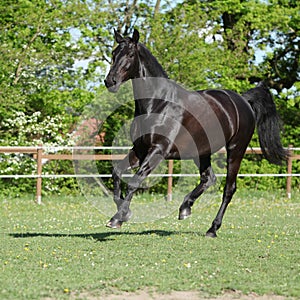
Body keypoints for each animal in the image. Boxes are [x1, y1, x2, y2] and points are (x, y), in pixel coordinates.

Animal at [104, 29, 288, 238]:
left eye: (130, 55)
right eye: (114, 53)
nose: (110, 81)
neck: (158, 104)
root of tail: (243, 100)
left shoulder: (157, 151)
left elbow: (134, 182)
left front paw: (118, 218)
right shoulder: (140, 150)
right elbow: (117, 173)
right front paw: (123, 213)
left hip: (236, 150)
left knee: (228, 188)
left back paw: (212, 228)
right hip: (201, 152)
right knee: (209, 178)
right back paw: (185, 208)